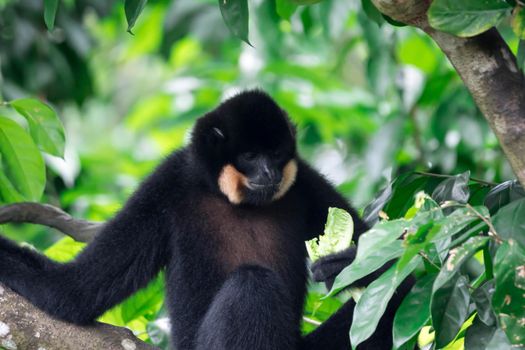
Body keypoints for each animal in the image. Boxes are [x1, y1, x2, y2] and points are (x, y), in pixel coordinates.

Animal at [0, 91, 408, 350]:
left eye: (276, 154)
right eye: (251, 156)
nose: (270, 172)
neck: (237, 202)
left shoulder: (305, 183)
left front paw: (346, 261)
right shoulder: (167, 184)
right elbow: (74, 290)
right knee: (251, 285)